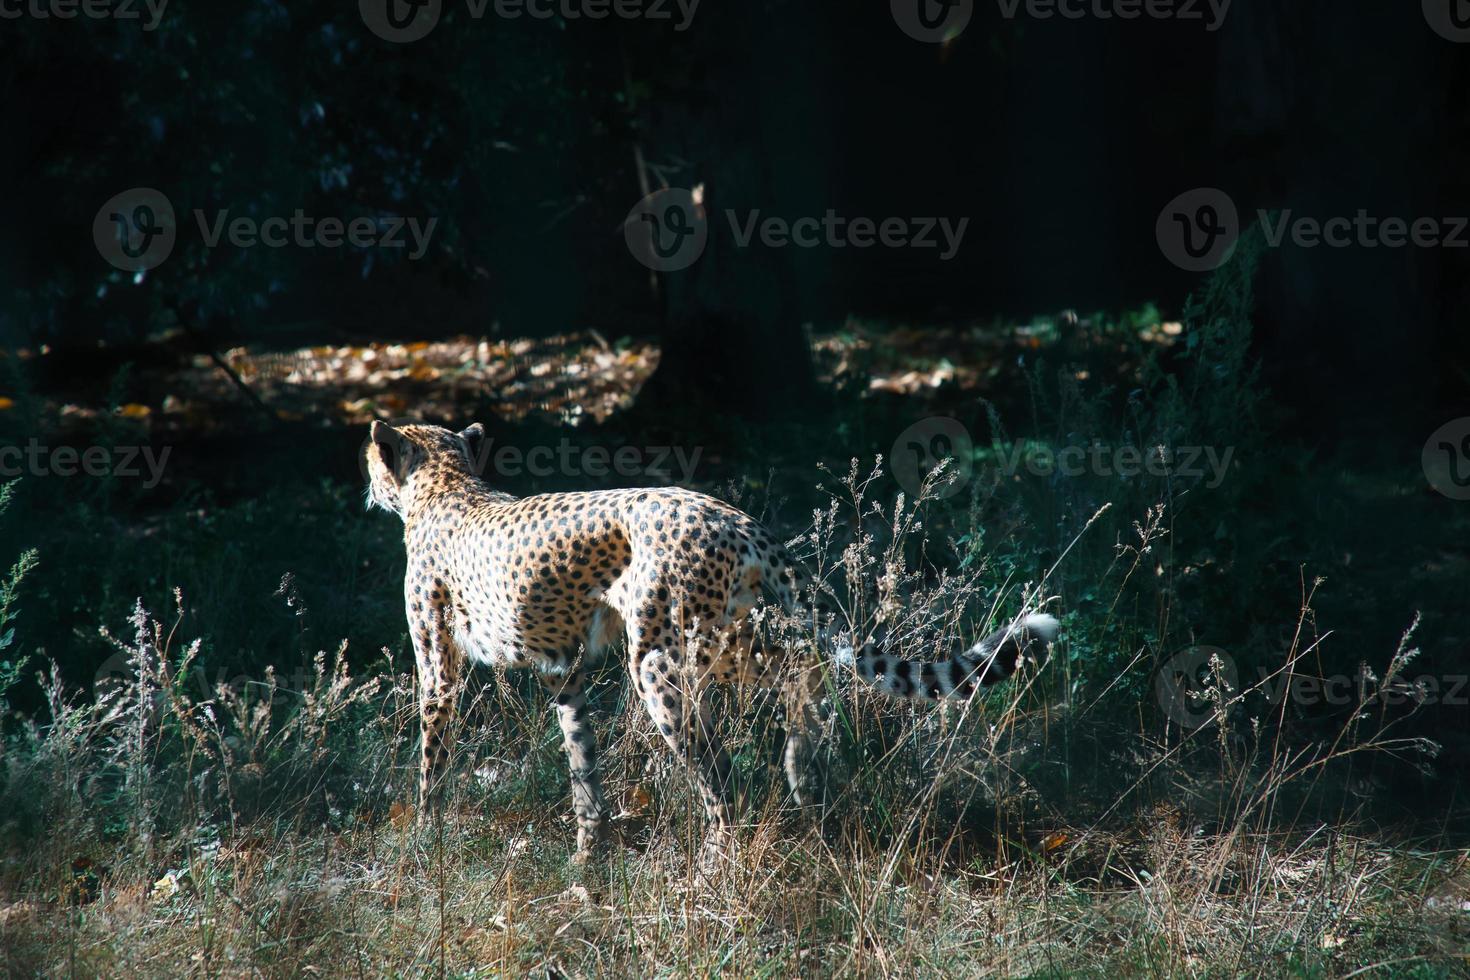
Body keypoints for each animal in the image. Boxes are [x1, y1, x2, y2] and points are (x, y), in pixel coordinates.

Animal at [366, 420, 1058, 858]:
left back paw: (718, 864)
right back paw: (803, 770)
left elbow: (431, 758)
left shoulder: (439, 668)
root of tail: (732, 515)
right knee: (800, 667)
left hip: (663, 657)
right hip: (725, 634)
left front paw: (424, 840)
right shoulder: (568, 671)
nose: (369, 486)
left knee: (721, 771)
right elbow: (581, 759)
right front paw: (589, 856)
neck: (447, 486)